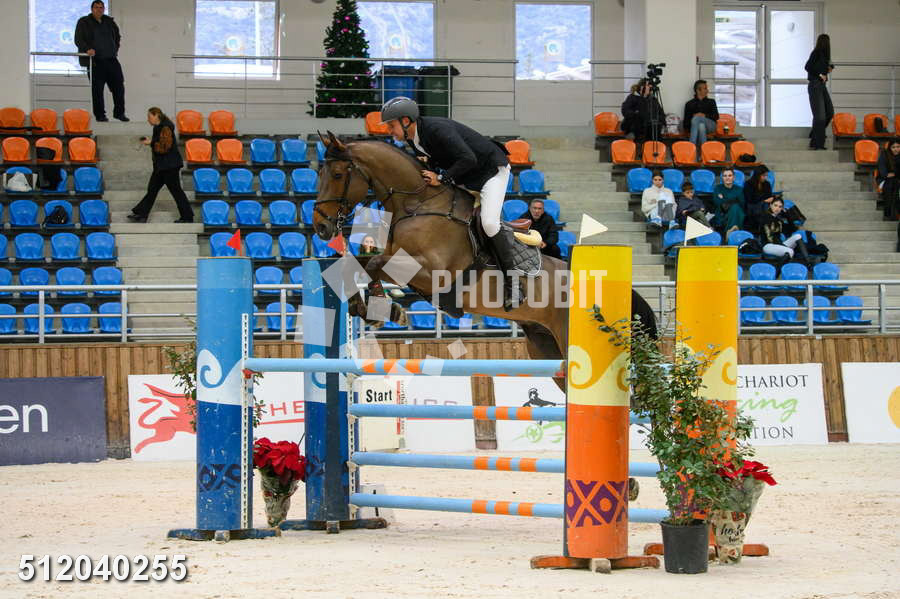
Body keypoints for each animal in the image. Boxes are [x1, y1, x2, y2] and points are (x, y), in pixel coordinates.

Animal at [312, 132, 657, 386]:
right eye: (319, 173)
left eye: (339, 174)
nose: (321, 226)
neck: (419, 203)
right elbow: (357, 265)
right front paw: (367, 306)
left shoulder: (431, 271)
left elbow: (373, 265)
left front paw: (384, 309)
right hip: (546, 348)